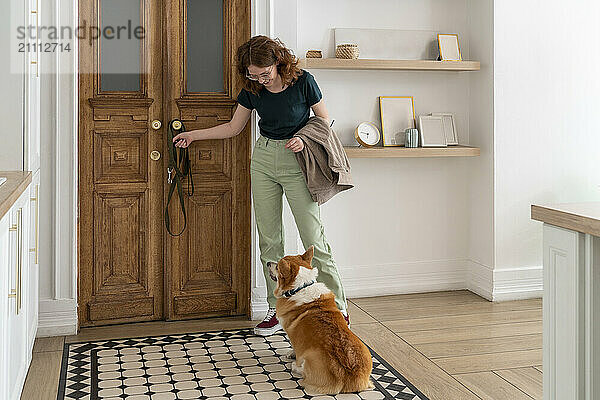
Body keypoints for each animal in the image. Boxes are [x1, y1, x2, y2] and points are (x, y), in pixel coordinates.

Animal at [266, 245, 372, 396]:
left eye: (278, 266)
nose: (268, 263)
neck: (301, 286)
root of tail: (349, 376)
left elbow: (294, 345)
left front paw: (292, 355)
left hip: (311, 357)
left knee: (303, 371)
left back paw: (296, 366)